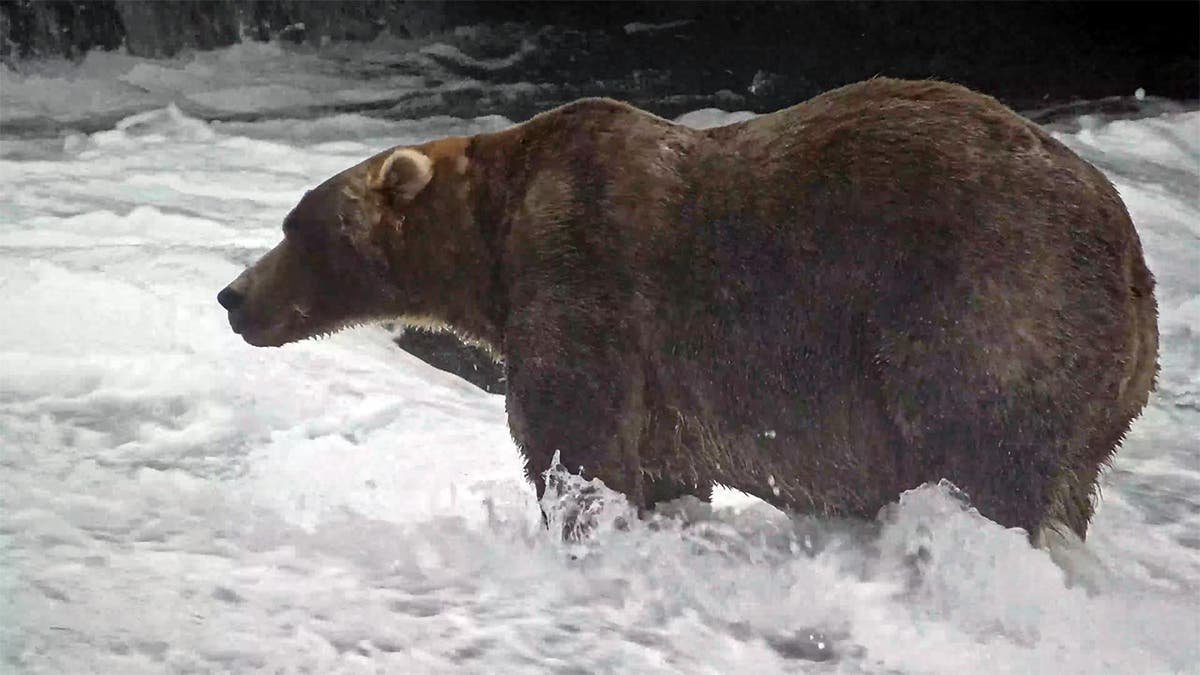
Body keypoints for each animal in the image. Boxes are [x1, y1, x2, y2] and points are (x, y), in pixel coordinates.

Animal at [217, 78, 1158, 540]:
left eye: (296, 226)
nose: (232, 296)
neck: (491, 241)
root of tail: (1132, 257)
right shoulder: (666, 384)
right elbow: (664, 464)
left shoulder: (584, 272)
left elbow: (574, 436)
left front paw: (578, 522)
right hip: (1103, 394)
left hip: (986, 304)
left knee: (983, 453)